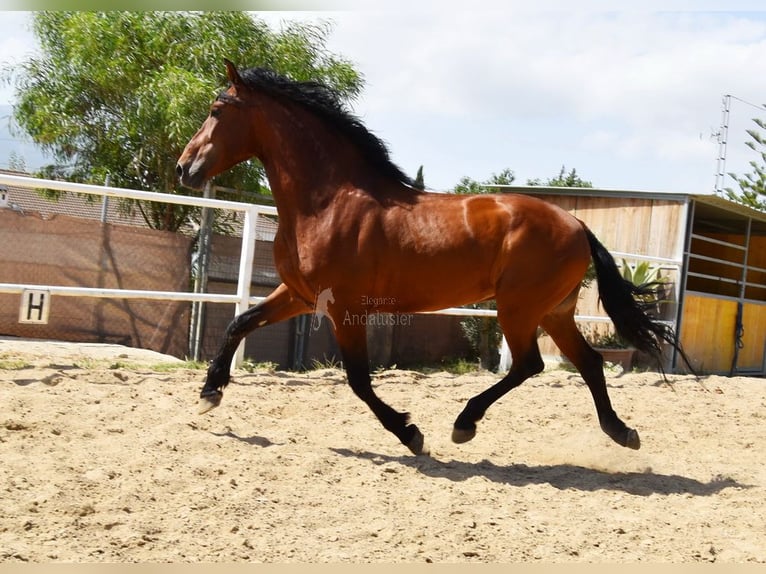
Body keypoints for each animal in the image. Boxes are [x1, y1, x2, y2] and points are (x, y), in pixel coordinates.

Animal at [177, 60, 688, 456]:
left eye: (216, 110)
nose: (184, 168)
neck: (327, 203)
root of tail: (577, 224)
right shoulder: (300, 295)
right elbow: (238, 323)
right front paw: (208, 394)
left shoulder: (345, 309)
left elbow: (358, 380)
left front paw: (410, 434)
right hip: (553, 311)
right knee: (589, 363)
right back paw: (621, 432)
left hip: (520, 308)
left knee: (530, 365)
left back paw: (465, 424)